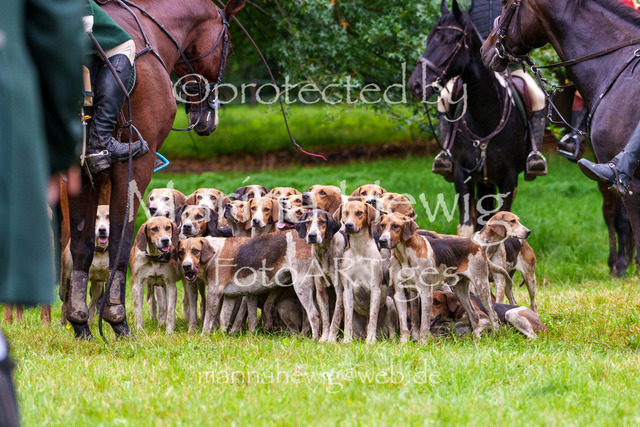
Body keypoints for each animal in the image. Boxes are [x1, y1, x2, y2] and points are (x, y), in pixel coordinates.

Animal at [65, 0, 246, 339]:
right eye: (229, 48)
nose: (208, 121)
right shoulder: (134, 167)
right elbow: (121, 243)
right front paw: (117, 320)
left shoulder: (82, 173)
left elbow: (82, 246)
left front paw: (80, 322)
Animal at [408, 0, 531, 237]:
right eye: (428, 40)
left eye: (448, 41)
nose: (415, 84)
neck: (486, 116)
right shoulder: (463, 176)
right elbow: (467, 227)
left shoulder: (509, 179)